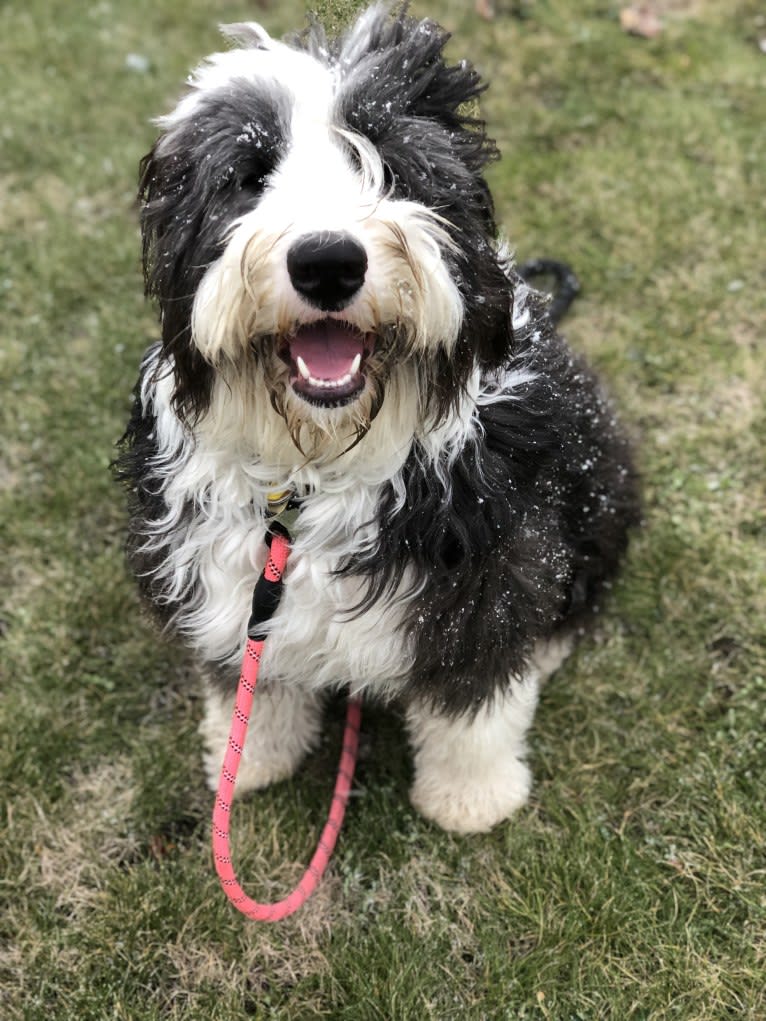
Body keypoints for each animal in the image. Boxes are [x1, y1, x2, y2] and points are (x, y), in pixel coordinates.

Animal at [115, 3, 641, 833]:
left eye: (387, 161)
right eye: (248, 175)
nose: (328, 262)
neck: (313, 469)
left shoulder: (485, 572)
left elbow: (473, 697)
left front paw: (470, 797)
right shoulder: (226, 578)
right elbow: (251, 681)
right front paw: (249, 757)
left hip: (600, 476)